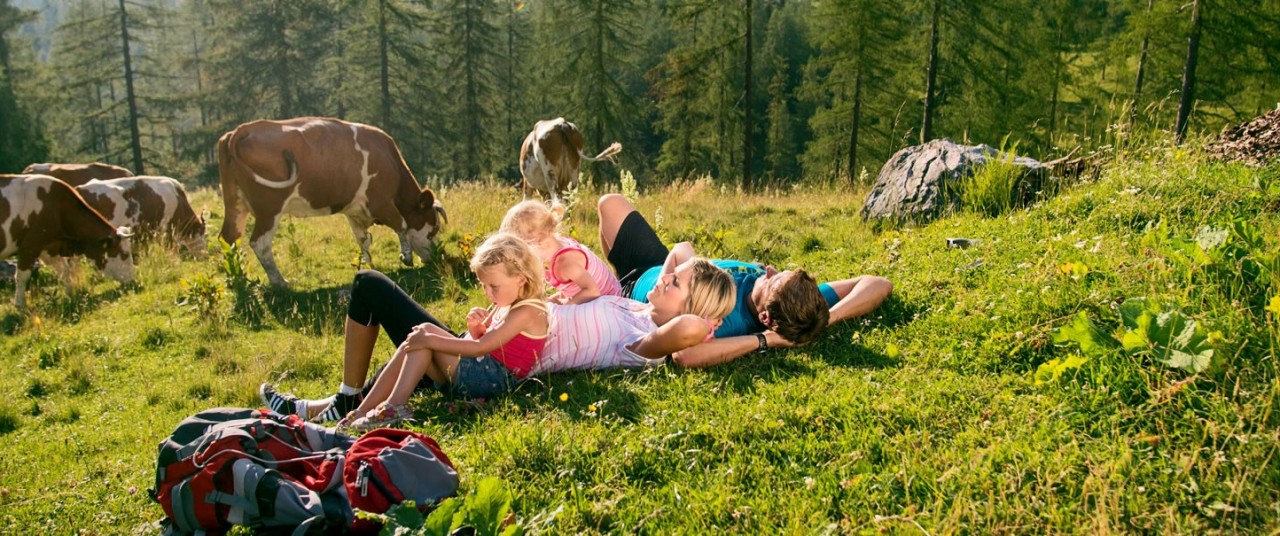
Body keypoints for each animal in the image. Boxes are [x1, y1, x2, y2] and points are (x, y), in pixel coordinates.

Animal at [0, 175, 135, 308]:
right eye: (125, 255)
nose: (133, 280)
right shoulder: (30, 246)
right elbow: (22, 276)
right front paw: (19, 304)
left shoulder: (49, 247)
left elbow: (64, 271)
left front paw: (71, 294)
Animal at [216, 115, 445, 287]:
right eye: (433, 229)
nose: (435, 256)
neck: (389, 160)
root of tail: (241, 130)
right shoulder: (381, 202)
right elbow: (402, 225)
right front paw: (406, 257)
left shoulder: (355, 210)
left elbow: (363, 239)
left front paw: (369, 265)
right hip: (269, 208)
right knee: (260, 243)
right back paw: (279, 281)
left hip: (235, 203)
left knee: (228, 237)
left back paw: (236, 278)